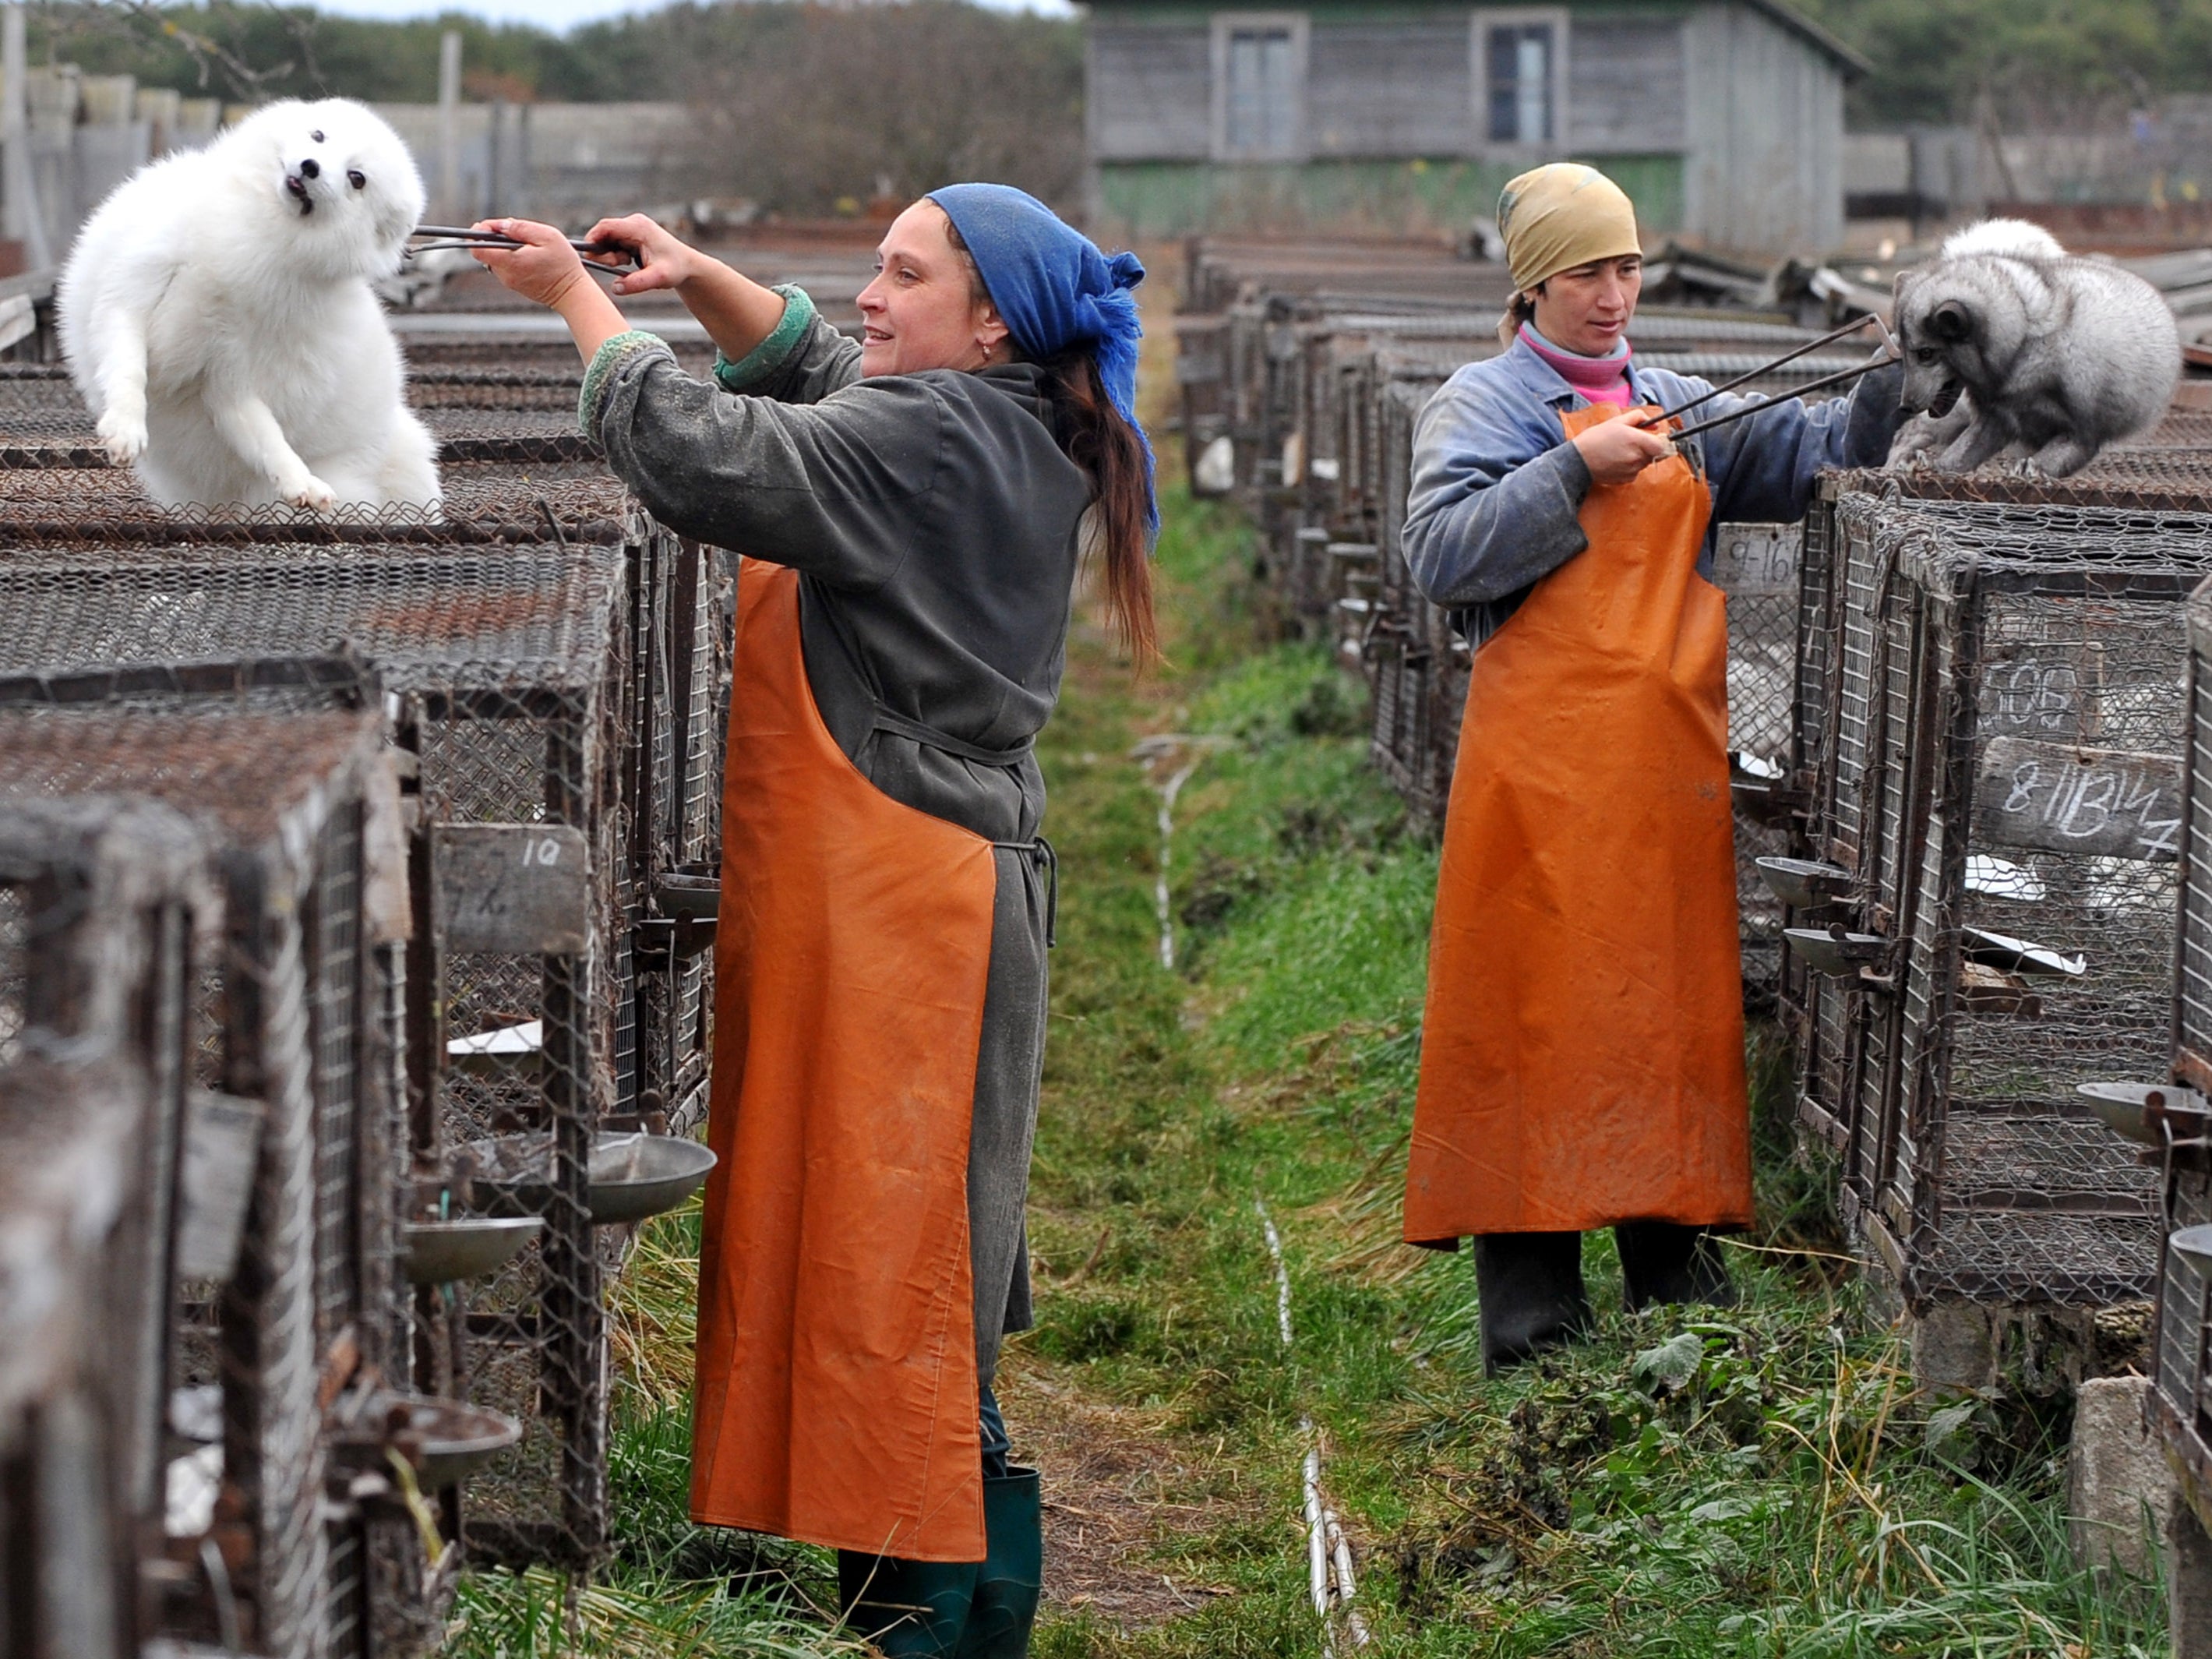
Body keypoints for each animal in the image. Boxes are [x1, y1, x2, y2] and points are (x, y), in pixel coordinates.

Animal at [58, 97, 439, 513]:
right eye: (318, 136)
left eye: (357, 179)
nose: (310, 167)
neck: (258, 232)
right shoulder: (126, 297)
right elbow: (129, 371)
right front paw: (125, 429)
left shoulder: (231, 376)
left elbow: (269, 440)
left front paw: (300, 481)